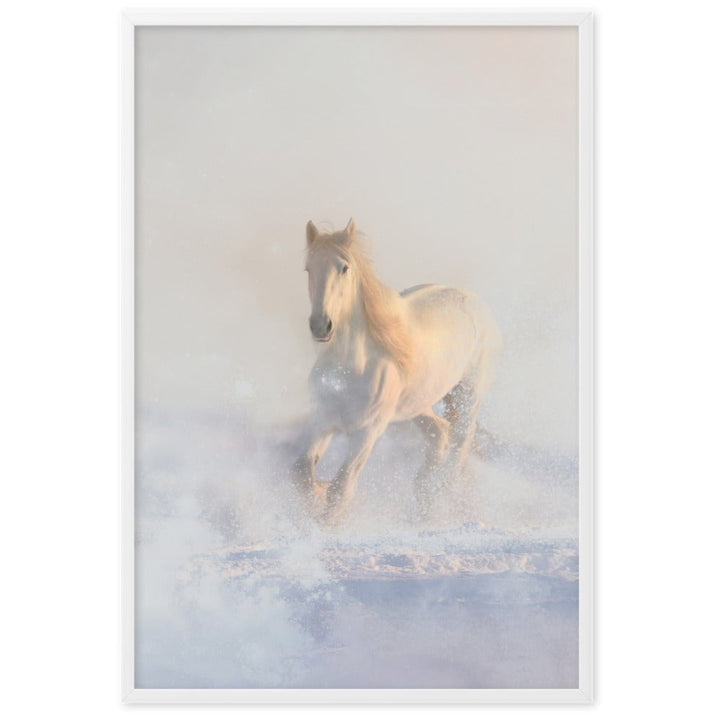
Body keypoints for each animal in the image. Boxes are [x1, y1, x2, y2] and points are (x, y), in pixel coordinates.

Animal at [293, 218, 501, 524]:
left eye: (344, 267)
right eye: (308, 268)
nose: (321, 326)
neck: (349, 370)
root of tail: (474, 302)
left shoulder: (367, 432)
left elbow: (341, 489)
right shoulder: (322, 421)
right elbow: (302, 475)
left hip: (468, 394)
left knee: (461, 441)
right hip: (418, 404)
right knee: (440, 433)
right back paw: (424, 497)